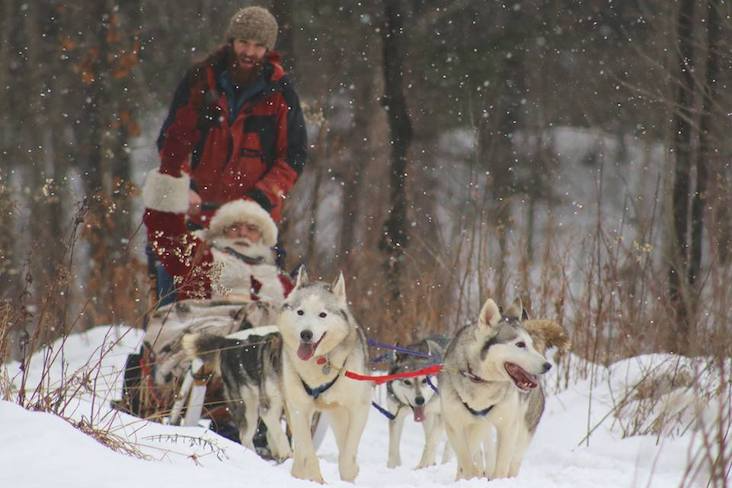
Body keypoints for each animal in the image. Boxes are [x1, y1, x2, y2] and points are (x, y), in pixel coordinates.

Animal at [280, 268, 372, 482]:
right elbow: (308, 453)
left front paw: (349, 475)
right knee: (301, 451)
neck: (320, 363)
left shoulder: (359, 408)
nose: (306, 334)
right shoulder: (299, 409)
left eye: (322, 314)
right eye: (300, 312)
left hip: (340, 415)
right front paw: (316, 480)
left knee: (344, 445)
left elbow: (347, 454)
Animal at [386, 336, 448, 468]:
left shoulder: (441, 415)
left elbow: (431, 441)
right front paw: (393, 468)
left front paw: (423, 465)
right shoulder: (396, 416)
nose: (420, 400)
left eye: (425, 380)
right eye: (407, 382)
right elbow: (393, 447)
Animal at [438, 298, 568, 480]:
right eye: (520, 344)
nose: (547, 366)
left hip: (523, 430)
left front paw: (496, 479)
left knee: (513, 460)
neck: (482, 381)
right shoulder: (455, 425)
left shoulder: (507, 426)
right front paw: (470, 476)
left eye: (530, 345)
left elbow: (500, 466)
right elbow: (466, 461)